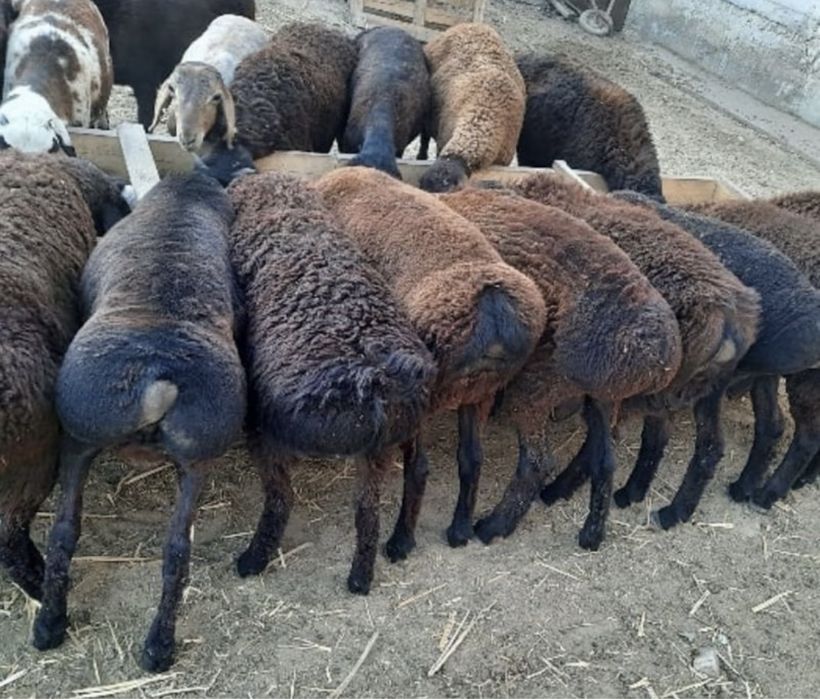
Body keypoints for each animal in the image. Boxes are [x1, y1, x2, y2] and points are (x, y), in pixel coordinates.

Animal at [31, 164, 247, 673]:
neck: (184, 202)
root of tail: (159, 376)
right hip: (197, 457)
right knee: (176, 551)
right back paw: (155, 646)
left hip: (79, 435)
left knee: (62, 532)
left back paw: (51, 623)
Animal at [223, 163, 436, 595]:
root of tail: (375, 378)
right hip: (398, 436)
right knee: (397, 489)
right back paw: (380, 560)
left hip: (271, 431)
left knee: (281, 497)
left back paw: (253, 559)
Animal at [314, 167, 547, 552]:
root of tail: (492, 306)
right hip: (478, 393)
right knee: (472, 458)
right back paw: (460, 530)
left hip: (426, 391)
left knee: (419, 467)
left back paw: (400, 542)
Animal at [440, 186, 681, 549]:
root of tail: (654, 351)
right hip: (602, 395)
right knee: (604, 460)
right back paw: (588, 530)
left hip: (537, 384)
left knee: (538, 462)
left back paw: (494, 525)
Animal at [504, 174, 760, 529]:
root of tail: (727, 323)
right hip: (696, 392)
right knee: (705, 446)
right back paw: (664, 507)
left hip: (648, 391)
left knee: (611, 443)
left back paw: (561, 492)